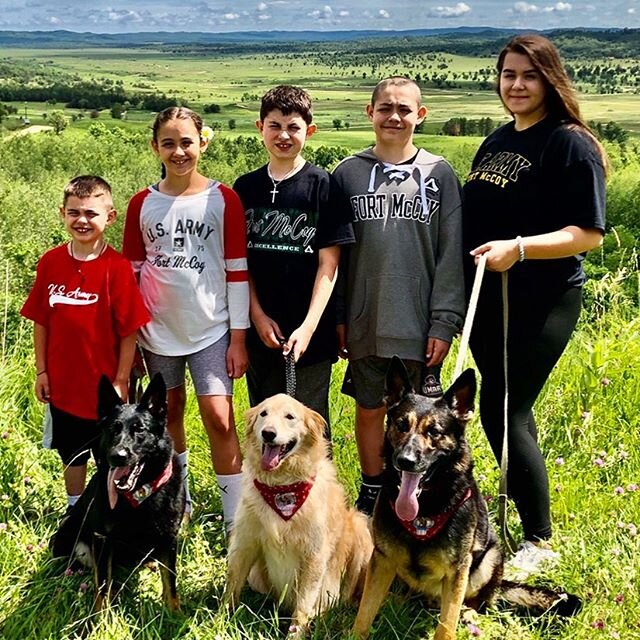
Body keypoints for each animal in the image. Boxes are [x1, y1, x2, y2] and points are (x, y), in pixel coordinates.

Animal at [50, 372, 185, 612]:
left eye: (140, 429)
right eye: (113, 429)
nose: (117, 456)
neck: (140, 496)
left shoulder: (169, 538)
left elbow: (171, 584)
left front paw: (174, 614)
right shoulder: (103, 539)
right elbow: (103, 586)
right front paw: (101, 619)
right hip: (70, 531)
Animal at [226, 392, 372, 632]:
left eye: (290, 416)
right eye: (263, 413)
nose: (268, 433)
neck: (282, 487)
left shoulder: (314, 555)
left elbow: (303, 606)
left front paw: (295, 634)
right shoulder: (244, 543)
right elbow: (231, 589)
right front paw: (220, 621)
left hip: (360, 527)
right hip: (256, 576)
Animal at [352, 358, 584, 640]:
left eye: (434, 432)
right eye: (401, 425)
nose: (405, 460)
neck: (425, 509)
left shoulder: (457, 571)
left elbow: (446, 624)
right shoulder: (382, 559)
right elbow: (365, 612)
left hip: (489, 558)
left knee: (478, 602)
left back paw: (469, 613)